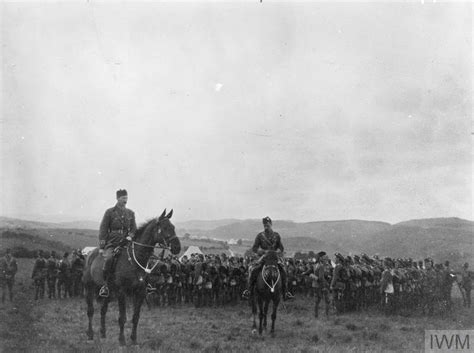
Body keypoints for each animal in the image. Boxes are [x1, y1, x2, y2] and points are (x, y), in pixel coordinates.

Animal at [82, 208, 181, 346]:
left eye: (173, 227)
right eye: (165, 227)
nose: (177, 247)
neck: (135, 260)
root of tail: (90, 254)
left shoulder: (140, 292)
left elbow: (136, 317)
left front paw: (134, 339)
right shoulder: (122, 293)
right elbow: (122, 318)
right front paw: (122, 340)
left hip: (108, 292)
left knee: (103, 310)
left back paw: (103, 333)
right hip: (89, 288)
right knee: (90, 311)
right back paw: (90, 334)